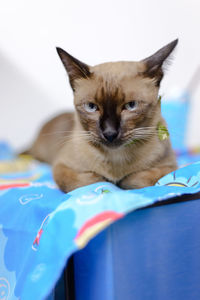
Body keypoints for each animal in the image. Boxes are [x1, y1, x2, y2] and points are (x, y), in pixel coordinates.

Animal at [27, 39, 178, 192]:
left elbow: (137, 179)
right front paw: (108, 181)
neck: (116, 158)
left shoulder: (169, 166)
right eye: (91, 107)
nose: (110, 133)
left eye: (131, 105)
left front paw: (122, 181)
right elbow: (93, 181)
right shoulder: (62, 166)